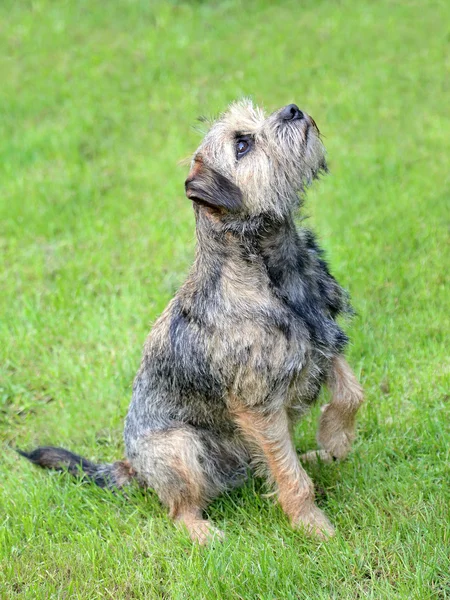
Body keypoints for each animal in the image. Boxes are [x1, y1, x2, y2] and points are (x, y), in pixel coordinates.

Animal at [22, 102, 366, 544]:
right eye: (243, 144)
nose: (292, 109)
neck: (274, 269)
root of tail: (132, 468)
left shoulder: (323, 338)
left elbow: (351, 394)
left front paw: (335, 440)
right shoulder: (258, 404)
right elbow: (291, 477)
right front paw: (313, 526)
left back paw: (318, 455)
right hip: (181, 446)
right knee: (181, 509)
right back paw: (208, 536)